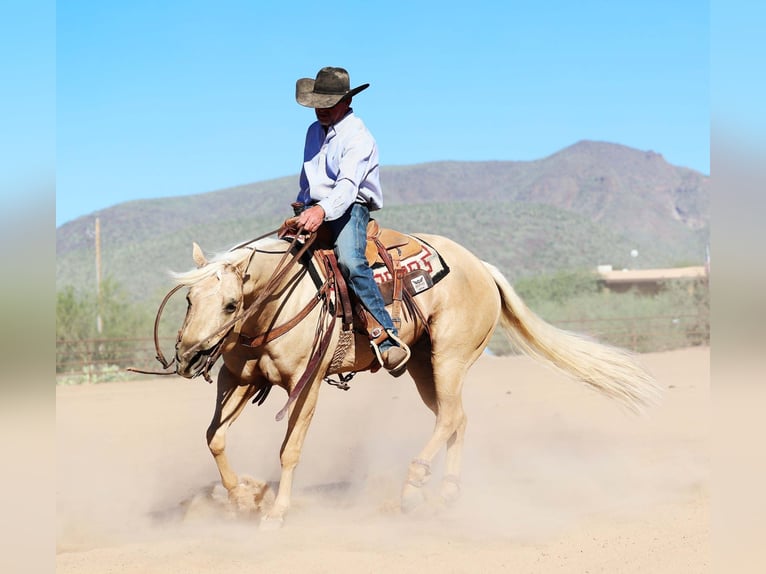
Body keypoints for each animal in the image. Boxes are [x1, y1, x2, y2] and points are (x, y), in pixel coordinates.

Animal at [170, 232, 660, 527]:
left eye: (230, 304)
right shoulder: (236, 379)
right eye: (190, 299)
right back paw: (446, 493)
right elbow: (214, 437)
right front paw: (239, 498)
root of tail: (481, 267)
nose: (188, 354)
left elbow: (289, 450)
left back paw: (411, 488)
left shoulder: (304, 385)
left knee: (450, 418)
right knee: (457, 418)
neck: (279, 302)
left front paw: (276, 512)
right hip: (424, 367)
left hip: (450, 357)